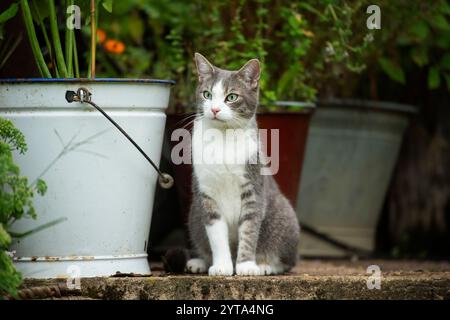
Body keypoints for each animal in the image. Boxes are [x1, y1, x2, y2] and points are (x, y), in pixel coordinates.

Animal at [186, 52, 298, 276]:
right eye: (207, 94)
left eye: (232, 97)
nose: (214, 109)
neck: (223, 137)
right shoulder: (206, 193)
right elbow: (216, 234)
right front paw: (221, 266)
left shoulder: (253, 188)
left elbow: (249, 228)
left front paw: (246, 265)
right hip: (193, 214)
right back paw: (200, 262)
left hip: (285, 216)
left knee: (287, 261)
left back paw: (265, 265)